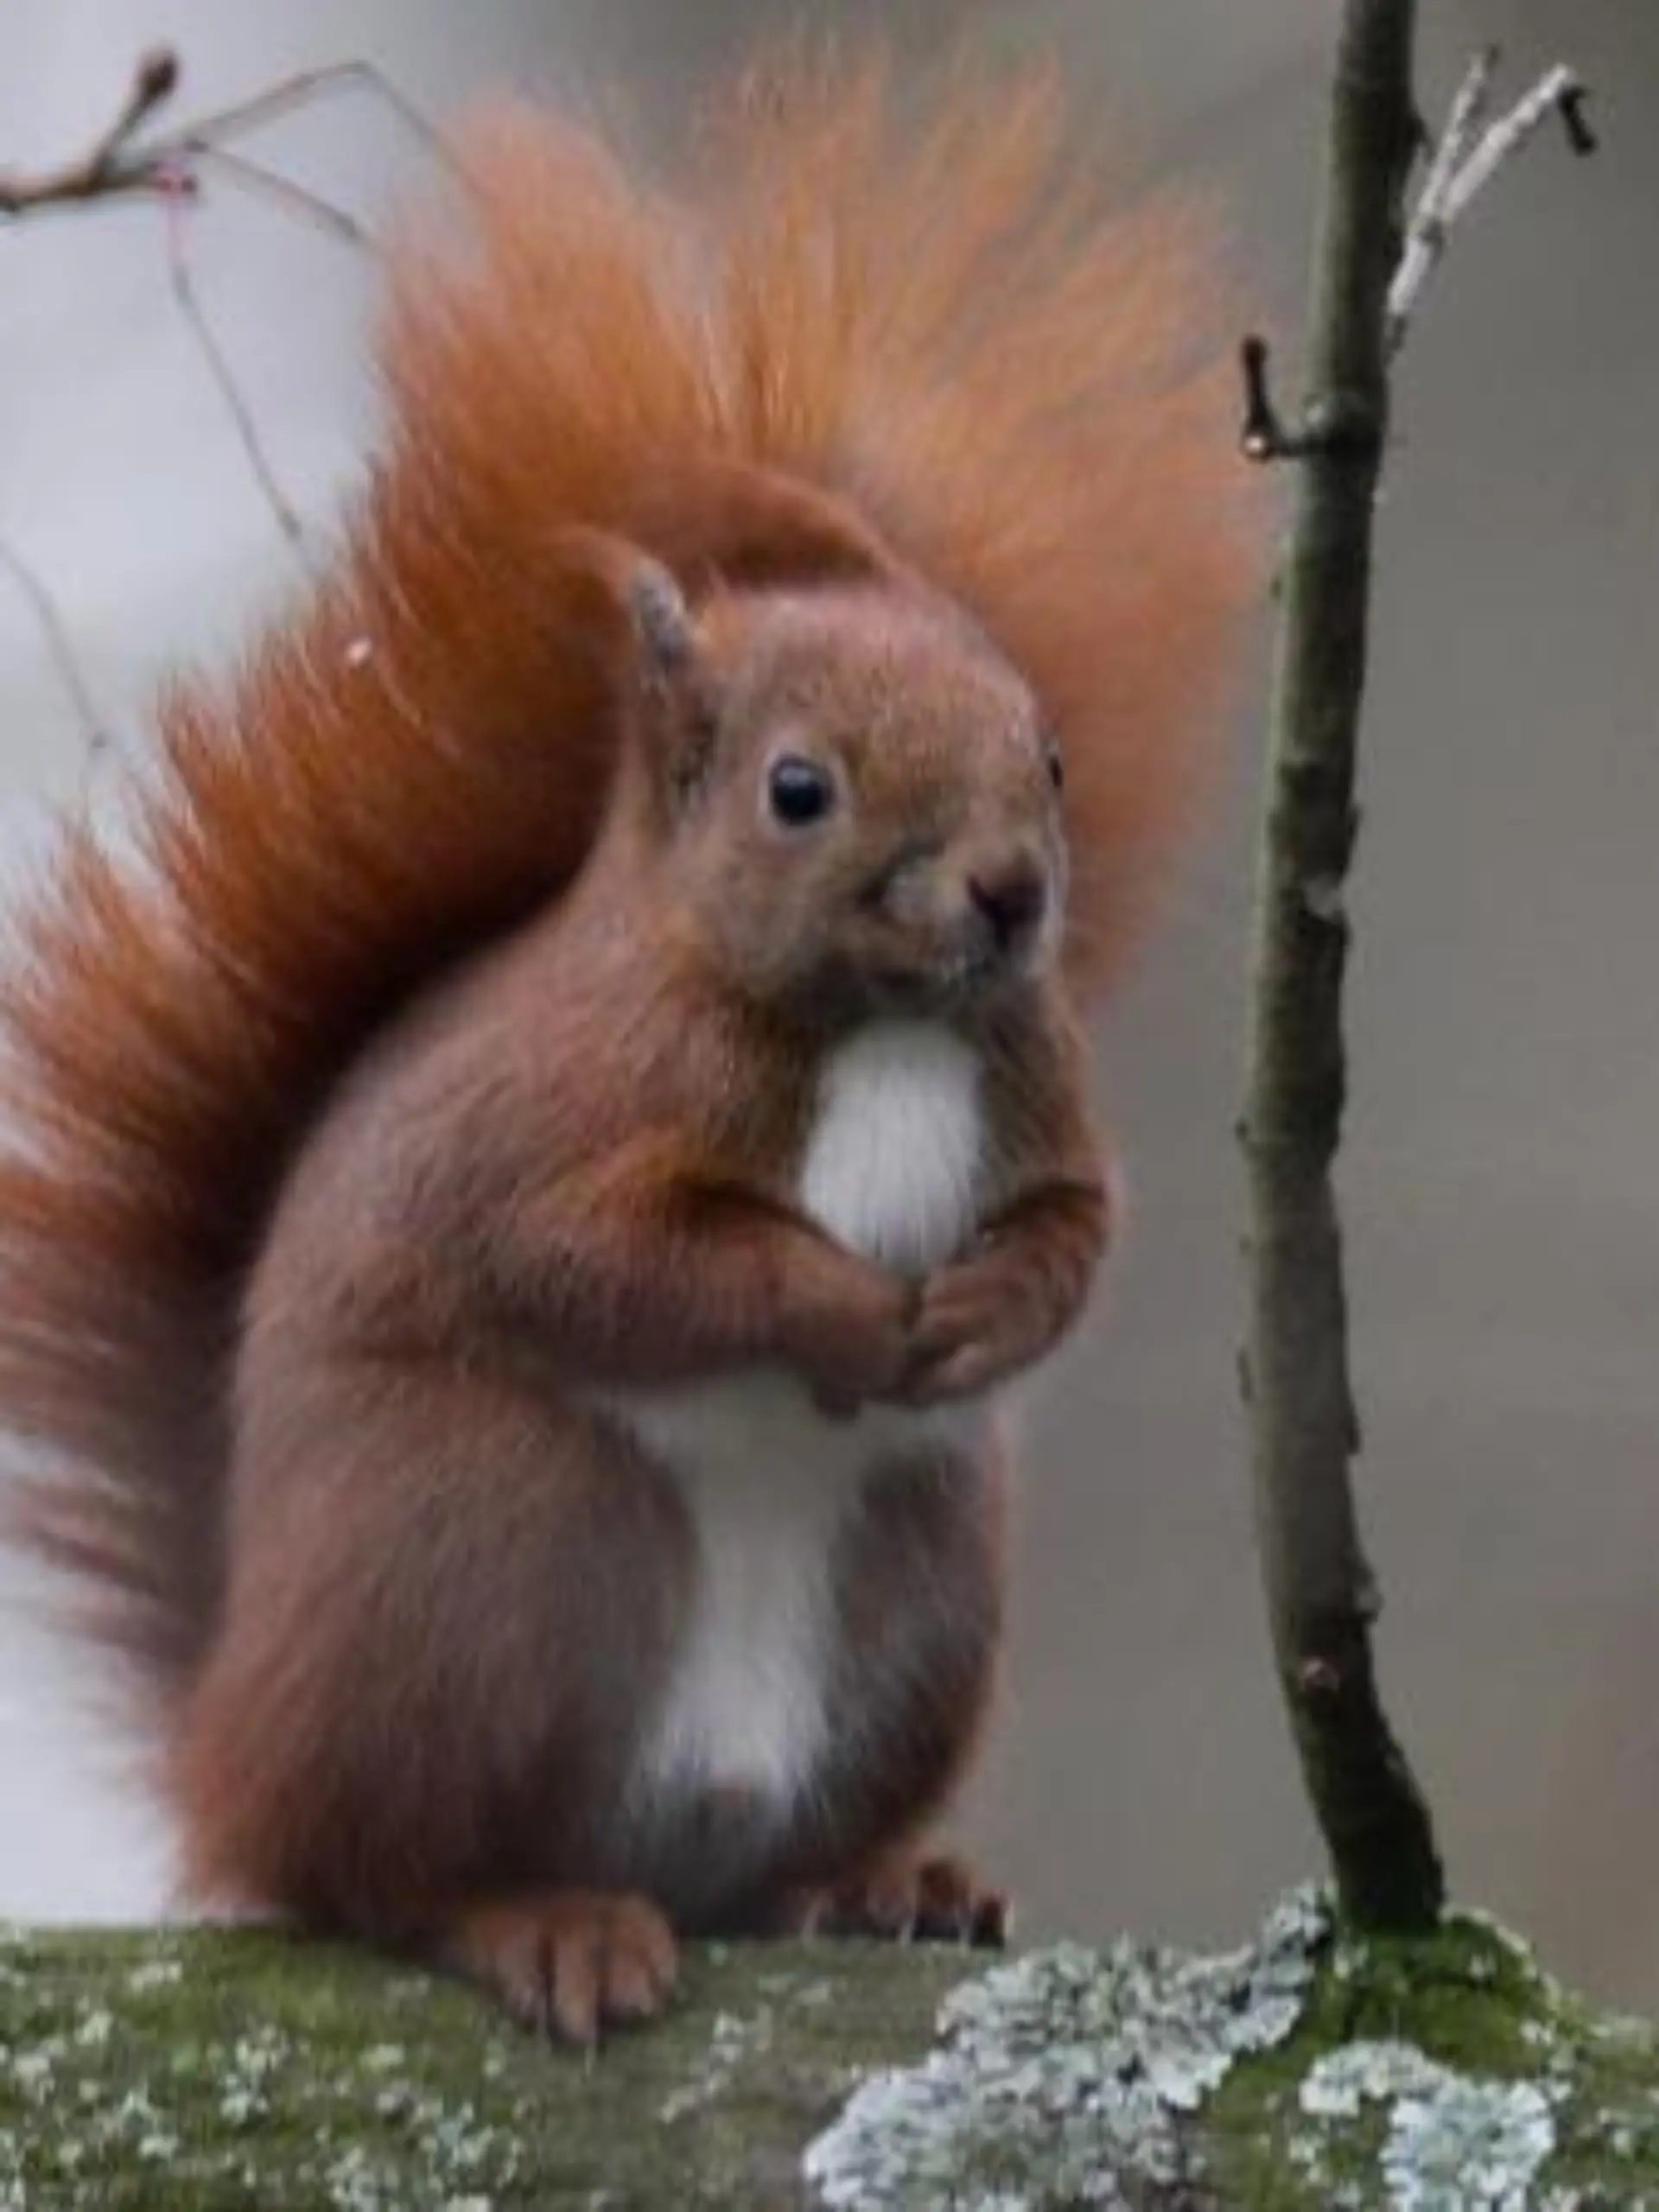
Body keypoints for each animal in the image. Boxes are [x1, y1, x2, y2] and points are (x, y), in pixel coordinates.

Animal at [0, 55, 1256, 2043]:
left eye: (1047, 751)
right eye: (797, 789)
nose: (1006, 893)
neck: (883, 1029)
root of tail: (231, 1735)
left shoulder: (1038, 1100)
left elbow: (1075, 1231)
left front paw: (985, 1310)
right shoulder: (543, 1130)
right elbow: (607, 1262)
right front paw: (836, 1308)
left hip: (924, 1587)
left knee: (769, 1856)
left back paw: (880, 1882)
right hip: (493, 1550)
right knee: (378, 1868)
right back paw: (536, 1916)